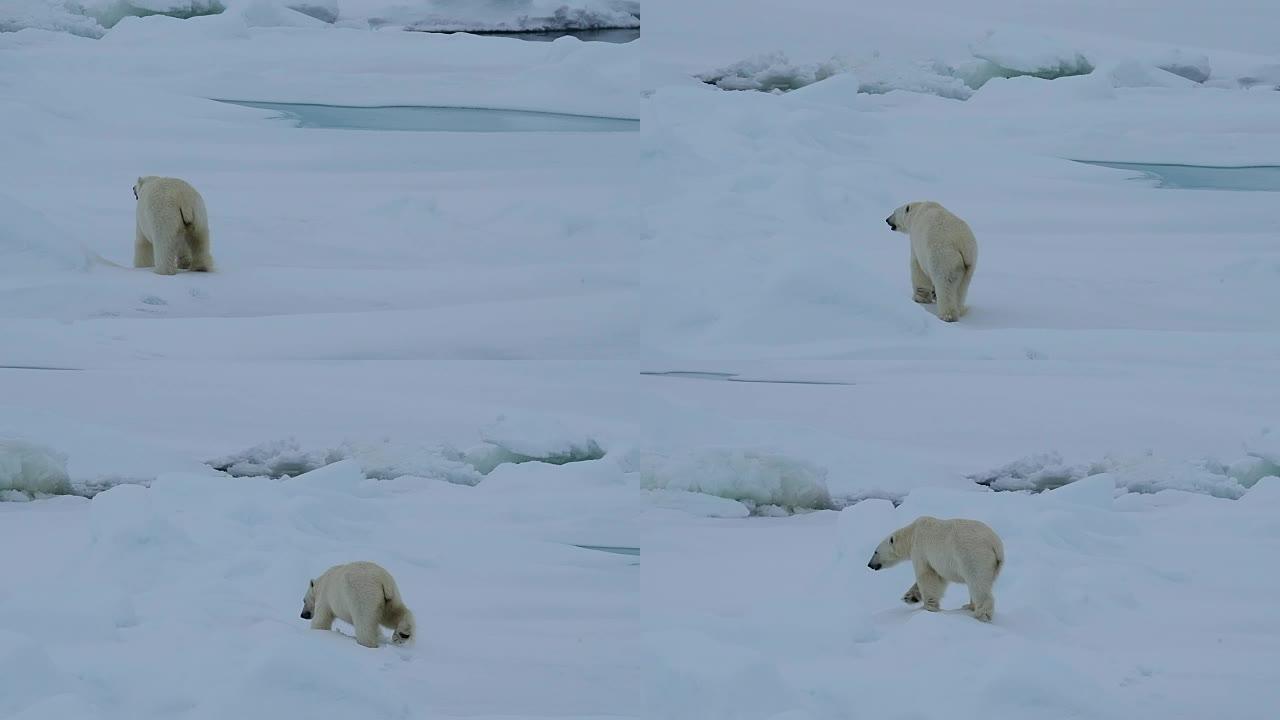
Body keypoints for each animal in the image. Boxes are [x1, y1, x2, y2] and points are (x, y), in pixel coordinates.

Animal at [865, 512, 1003, 620]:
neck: (912, 533)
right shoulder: (942, 561)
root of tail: (995, 544)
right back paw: (969, 606)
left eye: (875, 552)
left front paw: (928, 607)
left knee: (977, 582)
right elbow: (940, 577)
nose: (870, 564)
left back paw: (981, 614)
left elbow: (926, 575)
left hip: (973, 555)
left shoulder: (920, 549)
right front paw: (910, 597)